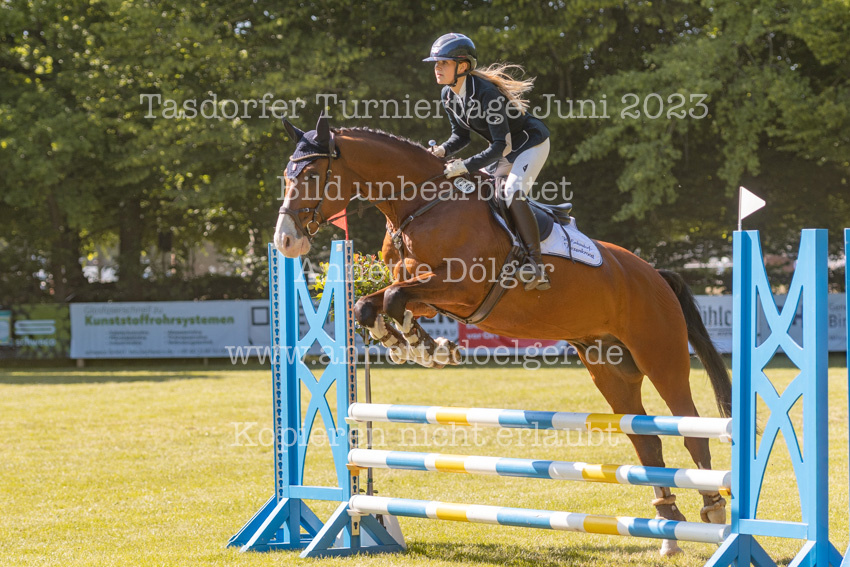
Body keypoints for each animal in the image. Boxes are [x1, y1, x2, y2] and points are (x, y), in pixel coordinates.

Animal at [273, 114, 732, 556]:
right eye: (285, 175)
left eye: (310, 174)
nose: (286, 241)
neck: (420, 206)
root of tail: (654, 275)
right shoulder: (431, 296)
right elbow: (371, 304)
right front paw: (419, 345)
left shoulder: (460, 288)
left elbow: (392, 298)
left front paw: (421, 346)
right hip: (609, 368)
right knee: (646, 440)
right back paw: (668, 530)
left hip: (660, 357)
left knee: (690, 428)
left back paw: (712, 511)